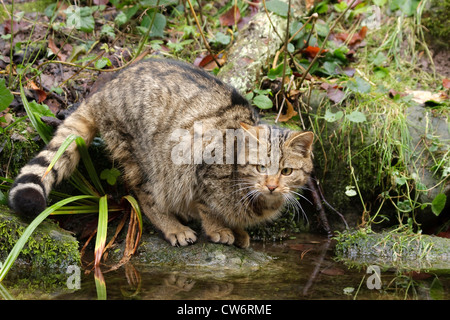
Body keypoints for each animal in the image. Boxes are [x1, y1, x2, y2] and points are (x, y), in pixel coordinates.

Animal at [9, 58, 312, 249]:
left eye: (286, 171)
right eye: (260, 168)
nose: (271, 186)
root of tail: (104, 90)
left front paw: (239, 231)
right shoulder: (197, 171)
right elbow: (209, 208)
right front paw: (219, 229)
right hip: (146, 160)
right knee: (145, 197)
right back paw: (174, 227)